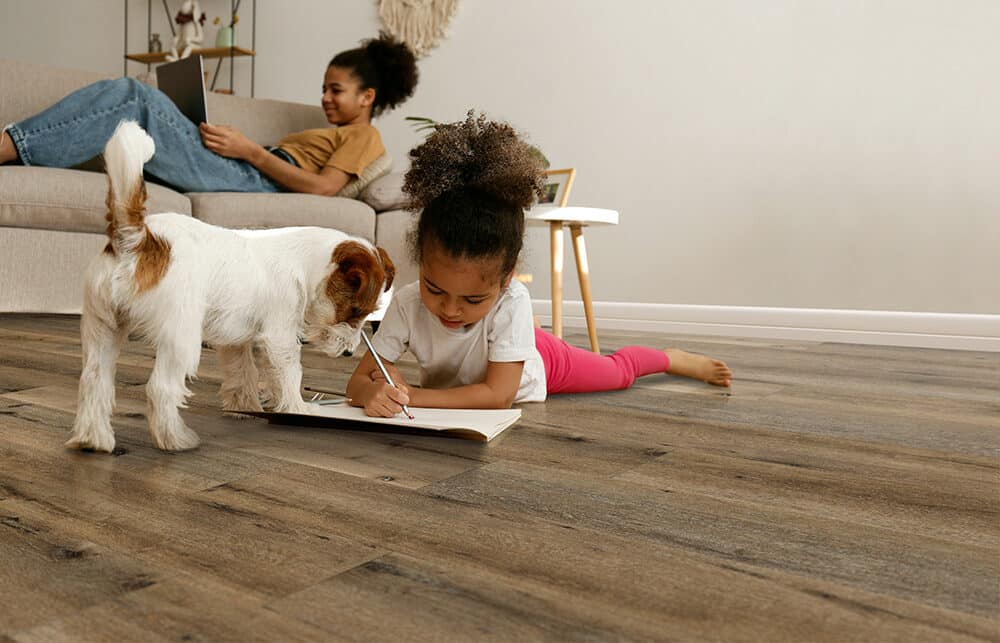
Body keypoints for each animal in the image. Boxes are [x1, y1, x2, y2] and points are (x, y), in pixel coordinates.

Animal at [66, 121, 392, 452]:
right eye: (354, 311)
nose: (350, 353)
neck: (306, 262)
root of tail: (138, 238)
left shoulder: (236, 340)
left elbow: (242, 371)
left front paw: (245, 407)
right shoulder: (281, 336)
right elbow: (290, 373)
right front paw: (298, 409)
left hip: (103, 327)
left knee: (93, 380)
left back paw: (93, 439)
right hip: (180, 336)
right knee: (160, 388)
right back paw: (175, 439)